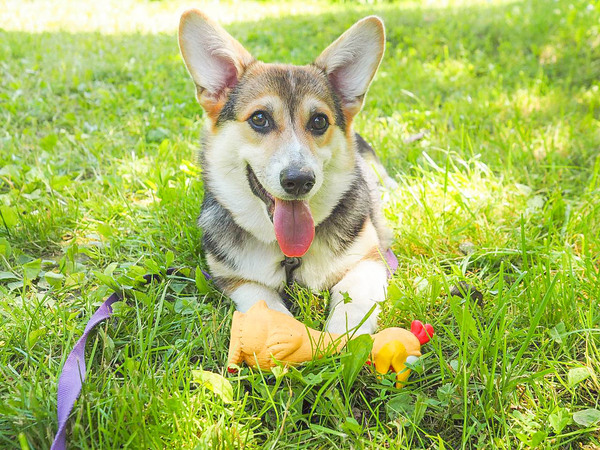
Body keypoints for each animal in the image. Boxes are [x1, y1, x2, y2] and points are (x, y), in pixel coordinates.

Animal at [178, 9, 394, 334]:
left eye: (319, 121)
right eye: (259, 119)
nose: (299, 181)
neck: (288, 253)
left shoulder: (368, 260)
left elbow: (353, 306)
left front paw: (339, 338)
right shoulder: (235, 279)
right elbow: (265, 304)